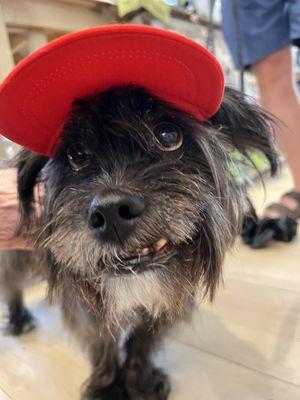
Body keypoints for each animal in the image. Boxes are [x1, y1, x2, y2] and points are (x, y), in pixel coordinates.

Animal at [0, 85, 278, 400]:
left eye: (168, 136)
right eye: (76, 154)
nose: (111, 212)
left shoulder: (171, 297)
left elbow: (141, 341)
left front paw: (139, 382)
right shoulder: (85, 303)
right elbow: (102, 343)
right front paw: (107, 386)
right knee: (11, 284)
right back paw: (19, 318)